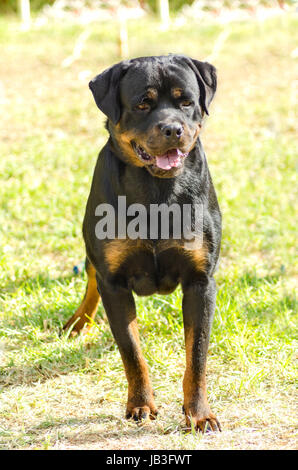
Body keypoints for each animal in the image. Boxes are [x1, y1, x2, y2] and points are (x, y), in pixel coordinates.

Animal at [63, 55, 221, 434]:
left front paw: (199, 414)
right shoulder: (115, 282)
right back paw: (79, 322)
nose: (172, 129)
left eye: (186, 101)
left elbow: (196, 355)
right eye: (142, 104)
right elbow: (132, 352)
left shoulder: (201, 282)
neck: (157, 193)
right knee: (90, 278)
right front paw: (140, 405)